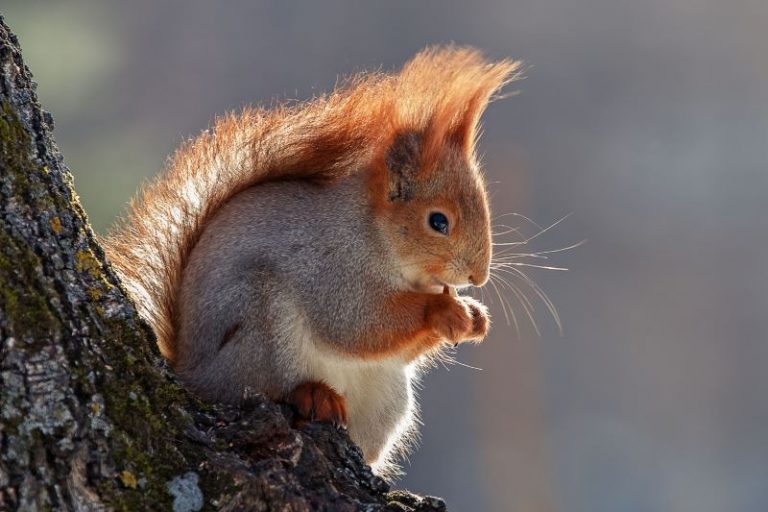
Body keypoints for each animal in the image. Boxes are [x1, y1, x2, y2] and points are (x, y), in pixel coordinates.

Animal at [103, 47, 520, 472]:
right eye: (438, 221)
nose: (478, 276)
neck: (375, 237)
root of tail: (190, 371)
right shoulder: (327, 264)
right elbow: (356, 324)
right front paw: (443, 310)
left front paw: (474, 316)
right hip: (258, 325)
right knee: (265, 386)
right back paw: (311, 394)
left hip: (387, 398)